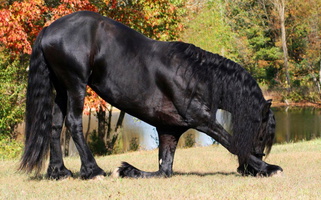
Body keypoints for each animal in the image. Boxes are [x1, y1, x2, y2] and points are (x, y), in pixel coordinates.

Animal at [19, 10, 280, 180]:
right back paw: (93, 171)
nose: (245, 170)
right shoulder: (201, 119)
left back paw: (59, 172)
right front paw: (268, 167)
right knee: (73, 123)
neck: (194, 74)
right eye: (262, 133)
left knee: (55, 125)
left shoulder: (169, 130)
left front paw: (127, 170)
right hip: (75, 84)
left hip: (61, 87)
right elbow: (229, 141)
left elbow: (164, 170)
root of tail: (49, 29)